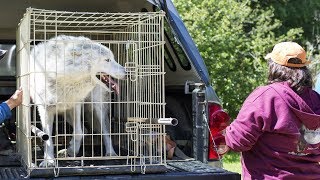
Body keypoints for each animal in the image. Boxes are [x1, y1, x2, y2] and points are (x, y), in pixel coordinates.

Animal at [29, 35, 125, 167]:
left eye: (113, 59)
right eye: (107, 60)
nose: (126, 71)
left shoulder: (77, 104)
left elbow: (79, 132)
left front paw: (72, 150)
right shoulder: (45, 109)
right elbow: (47, 138)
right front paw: (49, 161)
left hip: (97, 108)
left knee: (104, 132)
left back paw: (110, 153)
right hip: (67, 114)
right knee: (85, 129)